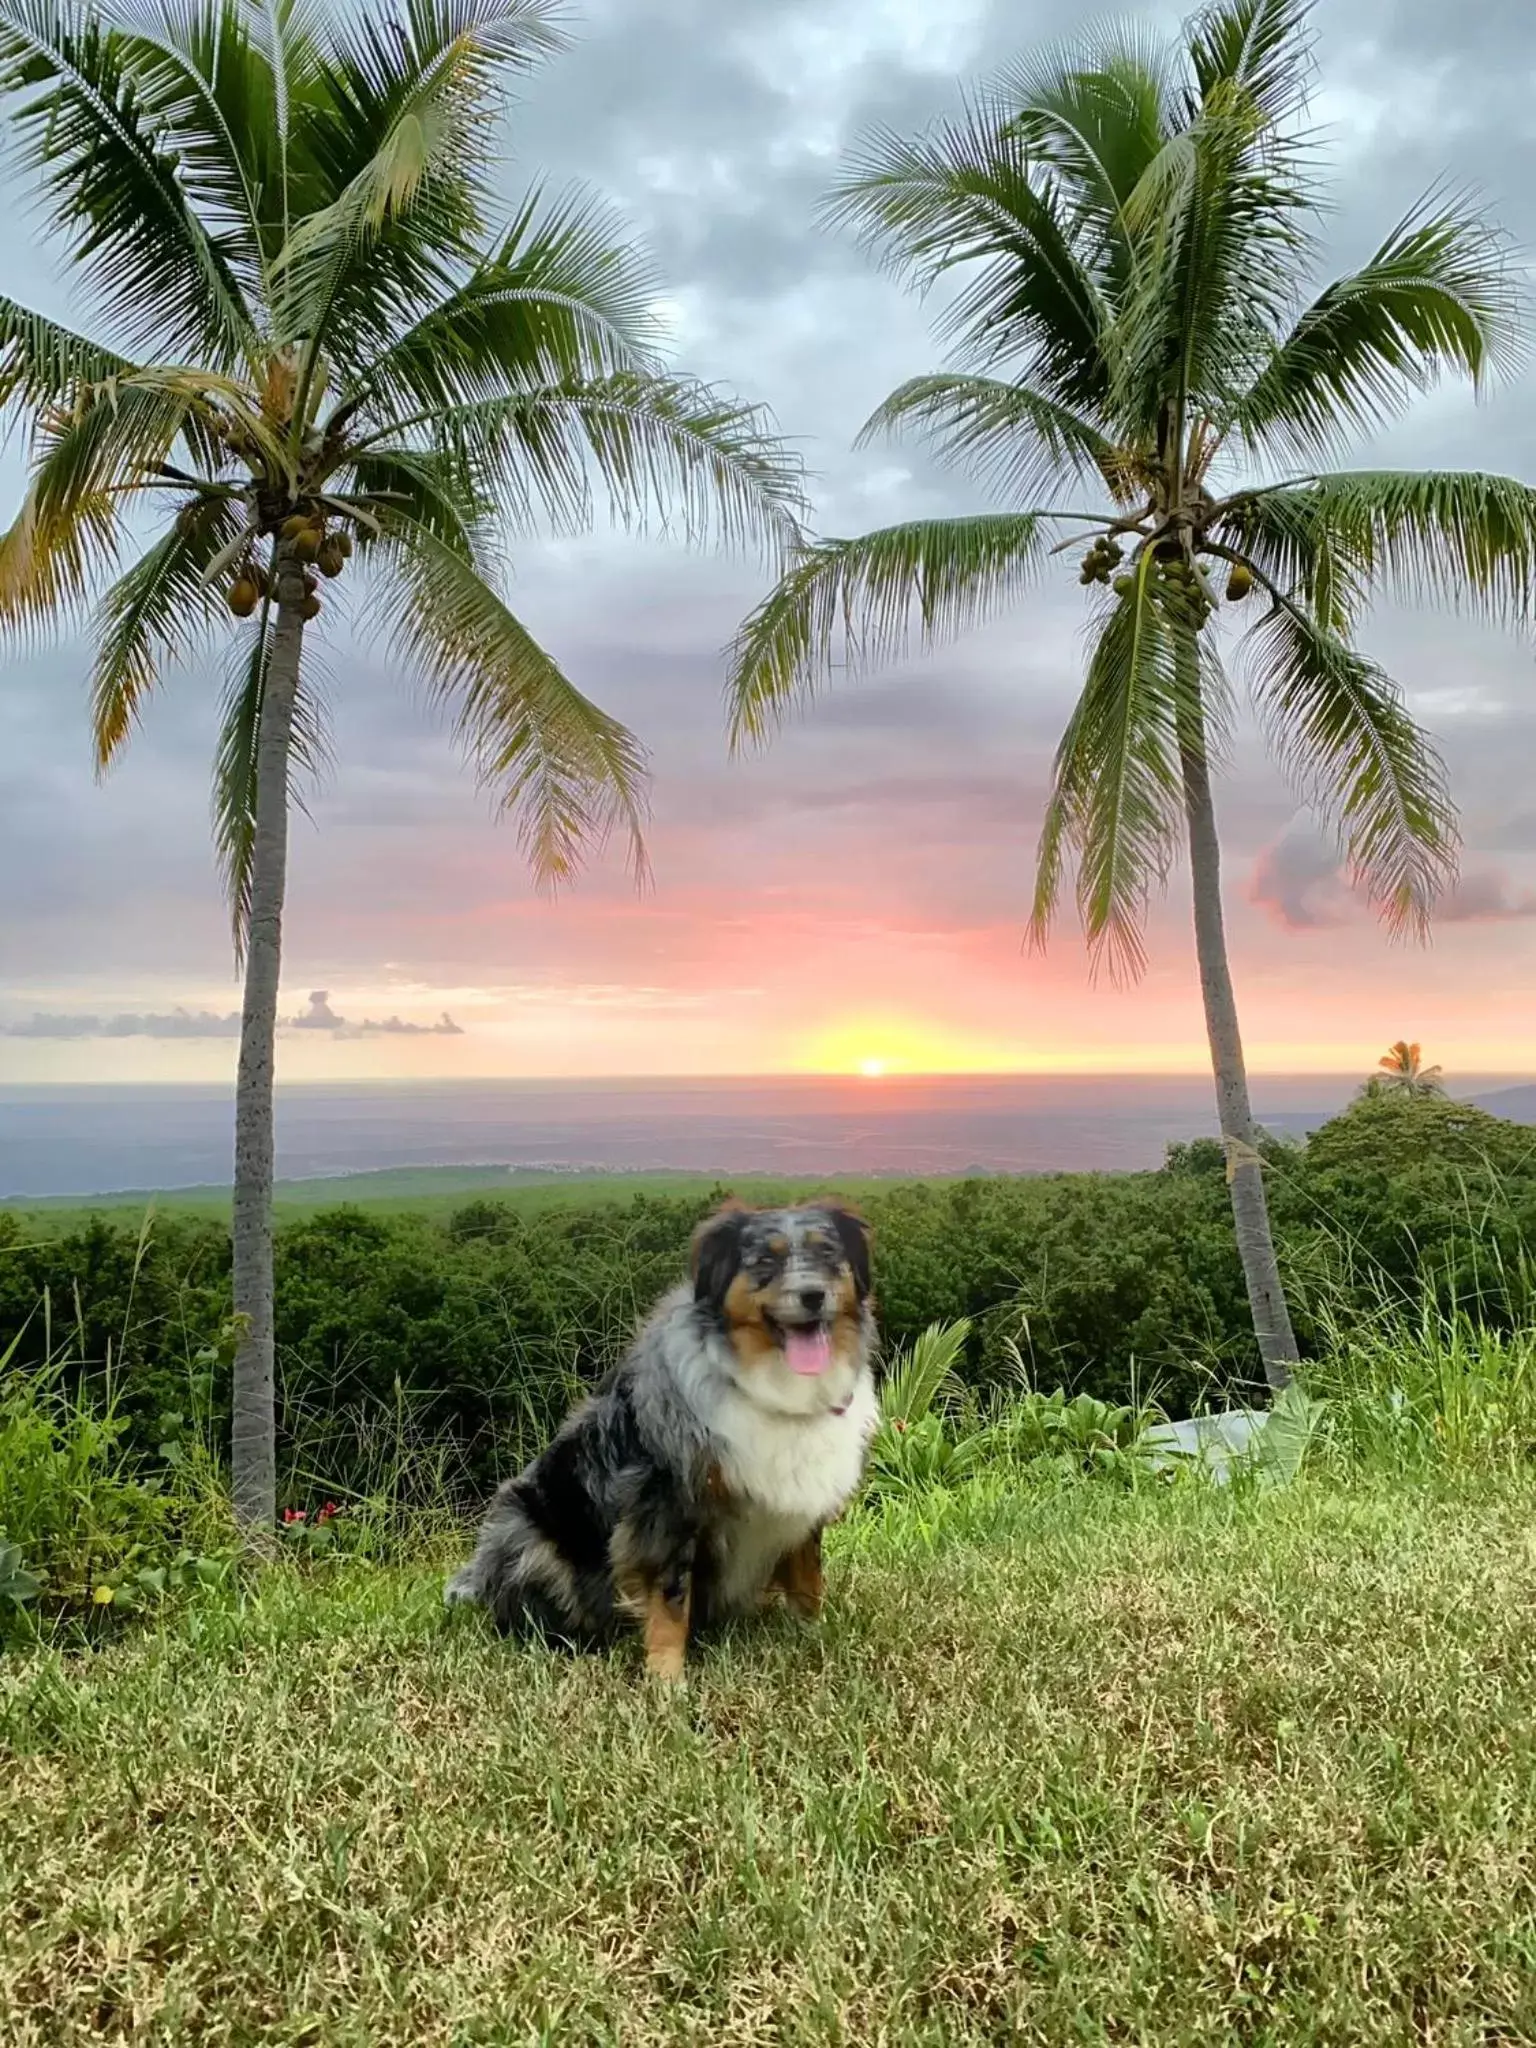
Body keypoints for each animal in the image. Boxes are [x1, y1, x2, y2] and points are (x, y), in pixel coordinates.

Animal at [442, 1196, 876, 1679]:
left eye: (827, 1252)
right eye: (766, 1260)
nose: (813, 1295)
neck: (772, 1386)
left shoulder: (803, 1506)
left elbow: (807, 1578)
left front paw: (814, 1638)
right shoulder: (665, 1505)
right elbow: (670, 1600)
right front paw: (667, 1680)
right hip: (524, 1532)